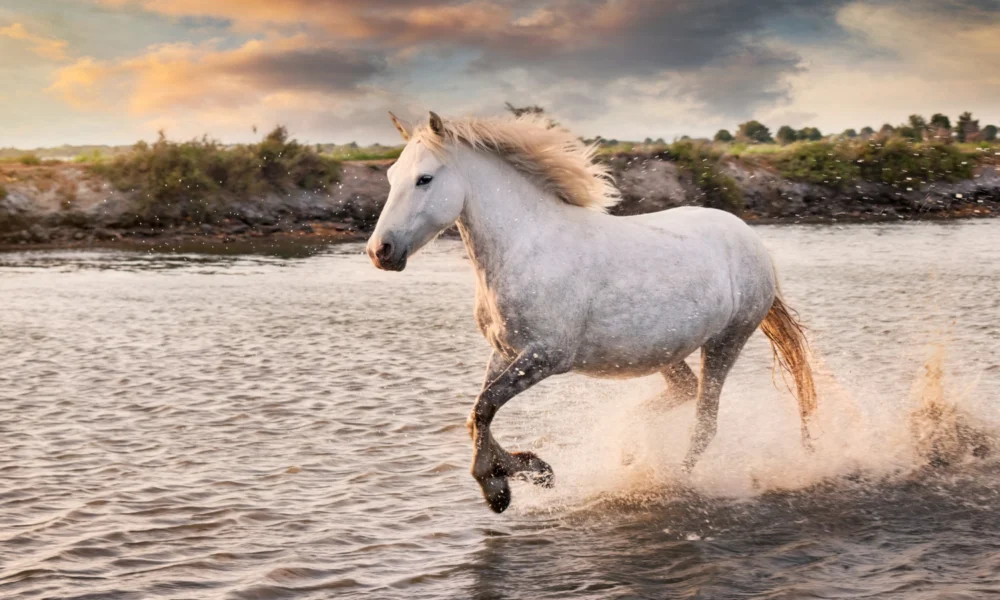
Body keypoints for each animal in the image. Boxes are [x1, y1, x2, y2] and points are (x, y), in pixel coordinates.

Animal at [366, 111, 812, 510]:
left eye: (424, 179)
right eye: (391, 177)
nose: (379, 251)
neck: (525, 248)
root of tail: (751, 239)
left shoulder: (546, 357)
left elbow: (484, 407)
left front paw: (500, 487)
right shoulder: (506, 353)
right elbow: (477, 415)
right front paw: (531, 470)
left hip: (725, 342)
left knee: (704, 422)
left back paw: (672, 479)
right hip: (661, 351)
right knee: (683, 393)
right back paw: (630, 450)